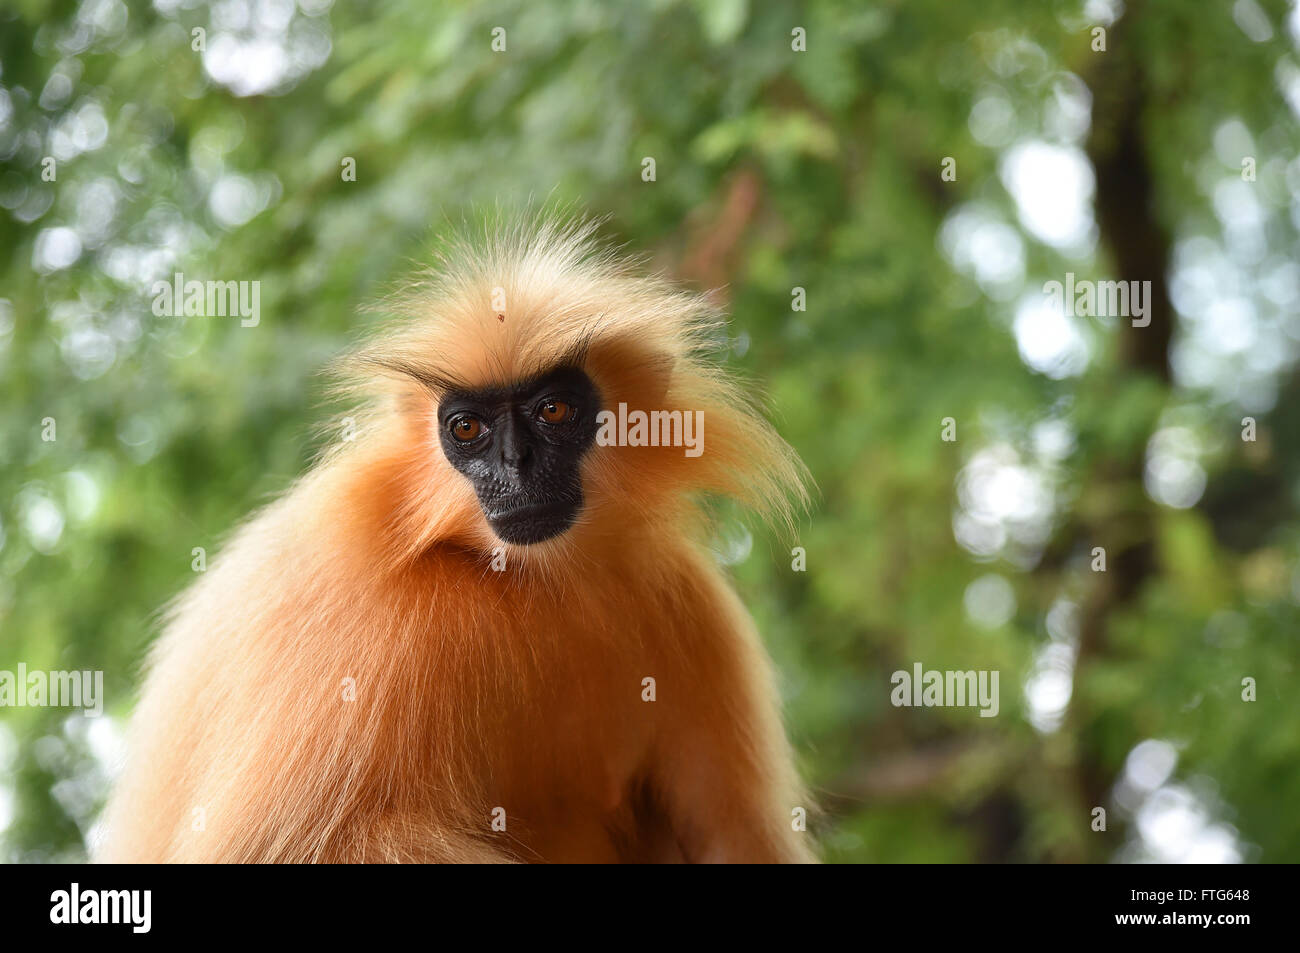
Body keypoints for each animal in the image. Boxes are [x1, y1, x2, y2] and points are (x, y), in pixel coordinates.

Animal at [96, 215, 816, 863]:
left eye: (554, 409)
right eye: (467, 428)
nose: (516, 466)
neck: (530, 581)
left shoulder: (688, 606)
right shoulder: (377, 627)